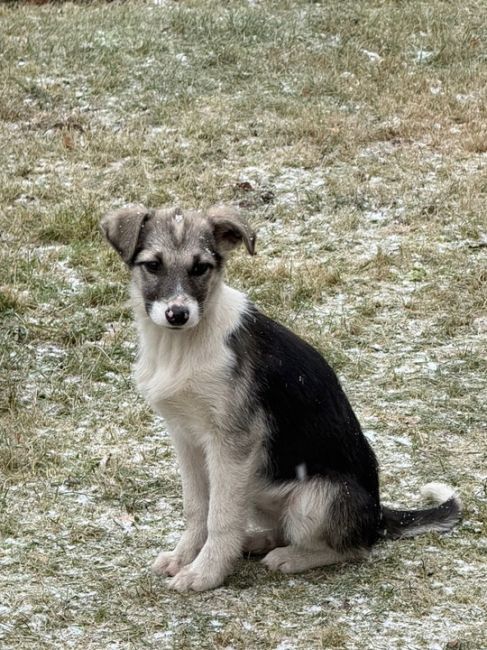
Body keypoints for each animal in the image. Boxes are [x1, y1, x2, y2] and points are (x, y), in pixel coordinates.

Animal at [102, 205, 462, 588]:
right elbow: (198, 508)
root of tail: (378, 514)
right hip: (258, 486)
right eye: (153, 265)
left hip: (315, 496)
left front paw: (205, 573)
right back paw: (257, 541)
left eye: (201, 268)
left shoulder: (233, 442)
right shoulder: (186, 438)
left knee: (353, 547)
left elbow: (220, 516)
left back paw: (290, 557)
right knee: (282, 528)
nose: (178, 314)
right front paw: (184, 558)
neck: (181, 346)